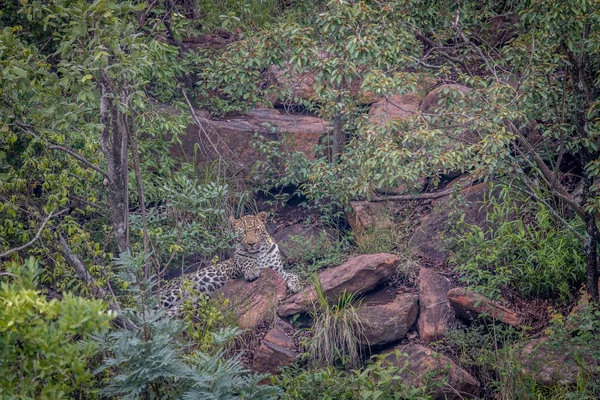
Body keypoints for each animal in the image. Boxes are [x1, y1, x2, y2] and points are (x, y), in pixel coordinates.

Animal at [158, 212, 302, 316]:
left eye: (256, 230)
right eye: (243, 232)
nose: (251, 244)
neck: (259, 252)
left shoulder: (277, 271)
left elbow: (293, 275)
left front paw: (297, 285)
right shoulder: (232, 268)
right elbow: (245, 260)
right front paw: (252, 271)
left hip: (183, 303)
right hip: (174, 291)